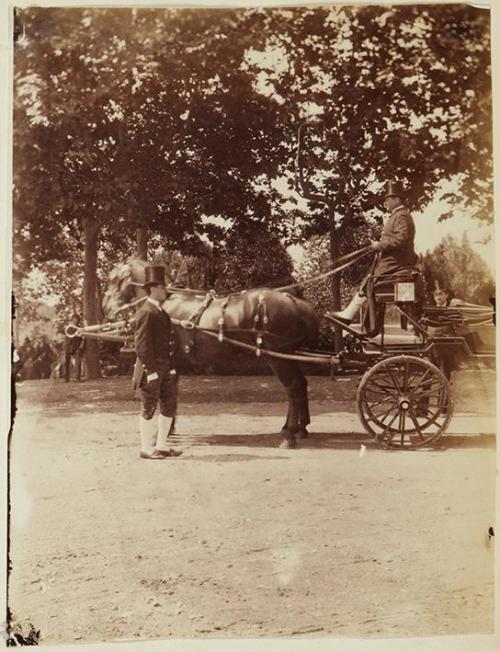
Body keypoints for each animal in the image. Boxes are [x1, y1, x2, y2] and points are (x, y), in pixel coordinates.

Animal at [102, 258, 320, 448]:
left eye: (114, 278)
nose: (106, 306)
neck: (164, 302)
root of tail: (293, 301)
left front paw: (163, 433)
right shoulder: (174, 362)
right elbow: (173, 394)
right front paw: (170, 429)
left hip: (277, 357)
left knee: (293, 387)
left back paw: (290, 435)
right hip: (287, 355)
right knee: (300, 385)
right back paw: (298, 429)